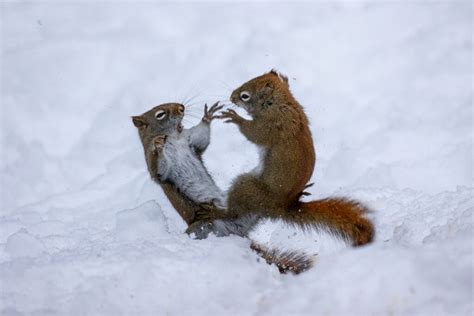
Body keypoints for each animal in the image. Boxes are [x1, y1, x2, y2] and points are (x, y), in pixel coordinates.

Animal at [131, 102, 312, 274]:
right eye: (160, 114)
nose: (181, 107)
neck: (174, 137)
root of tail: (236, 233)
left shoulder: (191, 141)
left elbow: (201, 138)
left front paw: (207, 115)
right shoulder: (158, 170)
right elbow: (158, 170)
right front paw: (157, 145)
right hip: (201, 226)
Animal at [188, 70, 374, 246]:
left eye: (245, 96)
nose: (231, 97)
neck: (280, 103)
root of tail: (278, 208)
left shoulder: (272, 125)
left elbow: (254, 133)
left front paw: (235, 118)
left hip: (247, 188)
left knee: (234, 212)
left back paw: (216, 212)